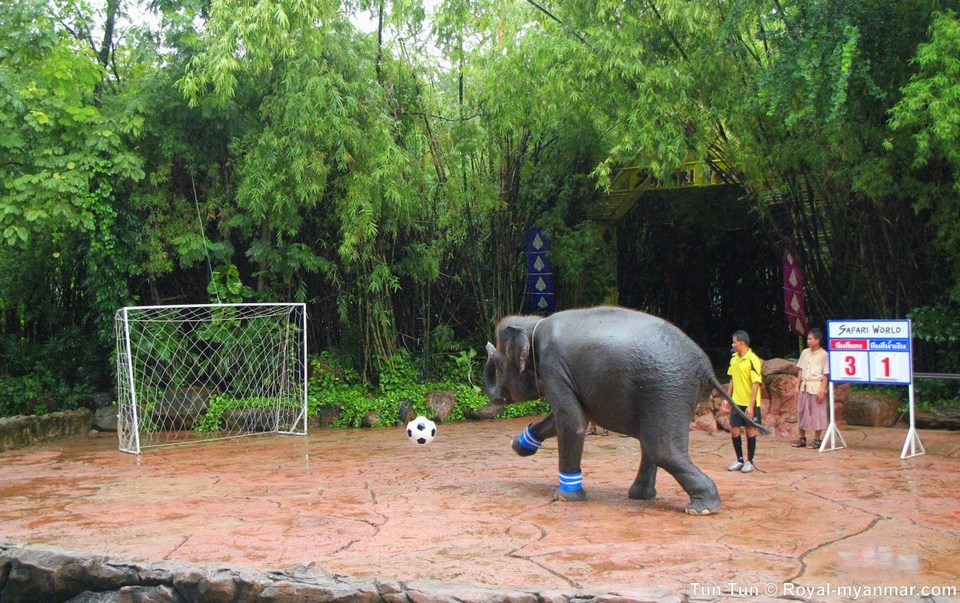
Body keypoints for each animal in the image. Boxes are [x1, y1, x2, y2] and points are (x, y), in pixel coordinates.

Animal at [483, 306, 770, 515]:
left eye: (498, 363)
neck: (535, 324)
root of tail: (705, 366)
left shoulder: (554, 365)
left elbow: (572, 422)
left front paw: (564, 498)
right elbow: (563, 419)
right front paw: (519, 445)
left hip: (667, 388)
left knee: (660, 448)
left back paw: (700, 509)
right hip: (668, 394)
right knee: (653, 444)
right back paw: (641, 496)